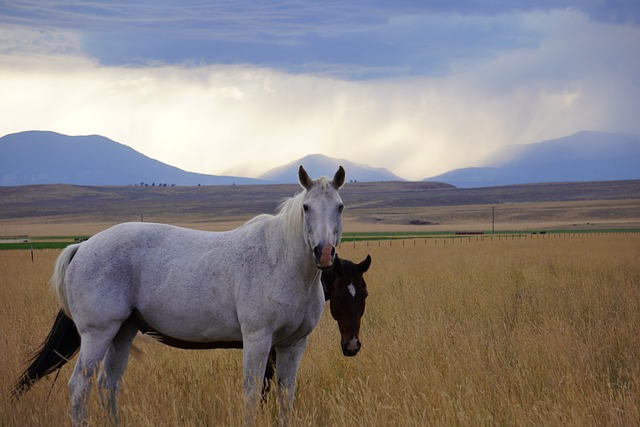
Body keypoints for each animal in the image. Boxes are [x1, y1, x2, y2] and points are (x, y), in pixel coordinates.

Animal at [13, 166, 344, 424]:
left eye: (340, 207)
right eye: (306, 207)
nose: (324, 252)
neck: (282, 261)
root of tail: (82, 246)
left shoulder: (293, 345)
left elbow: (285, 397)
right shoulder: (257, 340)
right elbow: (251, 395)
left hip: (123, 331)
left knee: (108, 384)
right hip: (98, 333)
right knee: (79, 386)